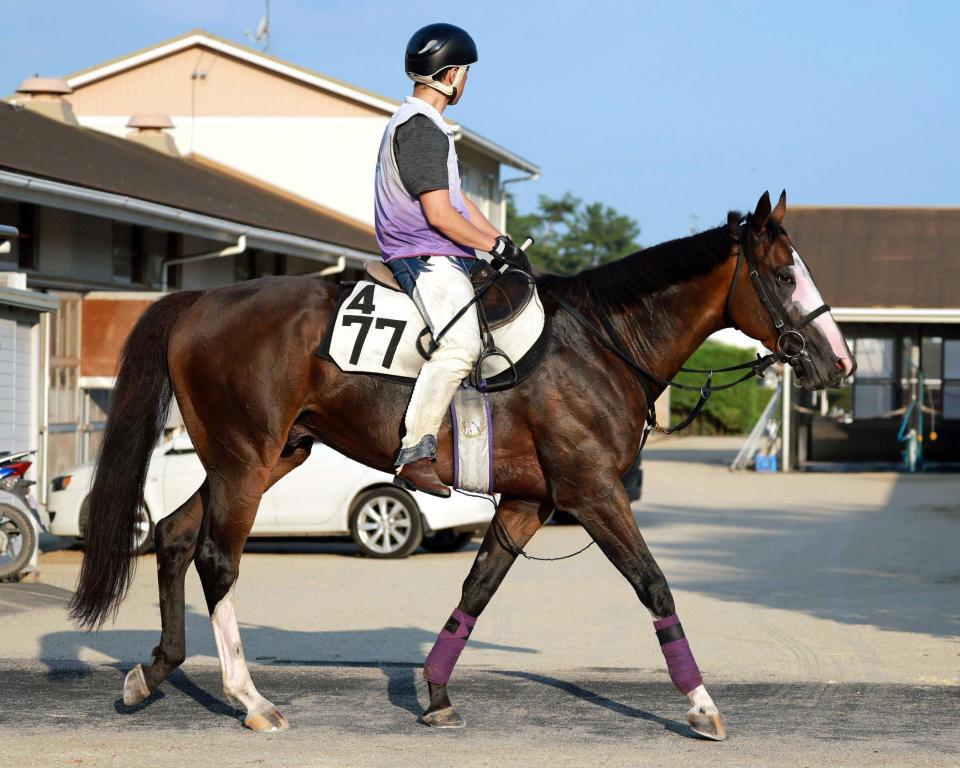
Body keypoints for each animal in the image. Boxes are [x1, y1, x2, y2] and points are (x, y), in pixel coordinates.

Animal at [71, 190, 860, 736]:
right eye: (784, 275)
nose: (840, 363)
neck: (602, 341)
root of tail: (203, 299)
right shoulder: (595, 492)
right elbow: (655, 587)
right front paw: (701, 705)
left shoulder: (529, 502)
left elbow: (477, 590)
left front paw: (437, 692)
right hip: (245, 458)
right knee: (216, 557)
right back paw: (250, 698)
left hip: (266, 457)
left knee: (174, 535)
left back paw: (152, 673)